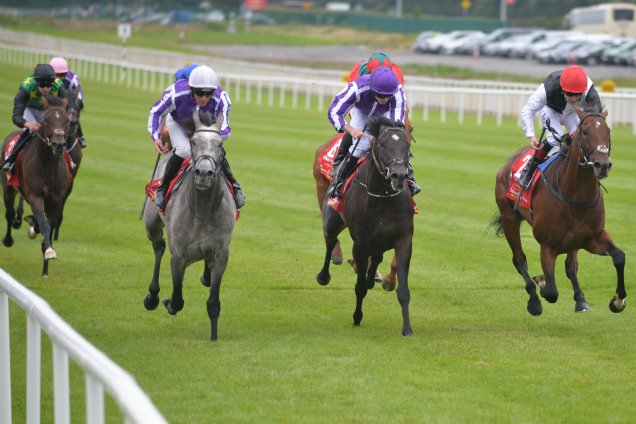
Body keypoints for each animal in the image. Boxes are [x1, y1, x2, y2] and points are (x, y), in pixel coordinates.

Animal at [1, 95, 71, 278]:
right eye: (46, 120)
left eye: (67, 120)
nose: (59, 145)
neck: (49, 165)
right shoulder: (35, 197)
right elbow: (44, 224)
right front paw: (49, 251)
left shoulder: (56, 201)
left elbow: (49, 227)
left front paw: (46, 266)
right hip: (7, 188)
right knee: (9, 213)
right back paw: (8, 239)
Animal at [143, 109, 237, 342]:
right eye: (194, 142)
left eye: (220, 145)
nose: (204, 173)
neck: (202, 211)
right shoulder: (178, 257)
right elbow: (177, 300)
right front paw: (167, 302)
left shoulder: (222, 255)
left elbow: (213, 302)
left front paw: (214, 337)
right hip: (151, 223)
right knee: (158, 247)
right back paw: (153, 296)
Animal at [316, 114, 414, 336]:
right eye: (383, 145)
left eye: (406, 144)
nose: (398, 175)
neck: (383, 197)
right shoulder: (359, 245)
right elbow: (359, 286)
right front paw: (357, 317)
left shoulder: (404, 240)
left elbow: (403, 290)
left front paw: (407, 328)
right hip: (331, 219)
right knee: (330, 241)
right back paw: (324, 275)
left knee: (376, 256)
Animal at [492, 105, 628, 316]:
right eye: (585, 131)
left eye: (608, 131)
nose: (603, 165)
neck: (575, 194)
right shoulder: (547, 245)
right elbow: (551, 292)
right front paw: (540, 284)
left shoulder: (591, 237)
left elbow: (619, 257)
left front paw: (617, 301)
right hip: (509, 219)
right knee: (519, 259)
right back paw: (534, 299)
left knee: (570, 266)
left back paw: (580, 299)